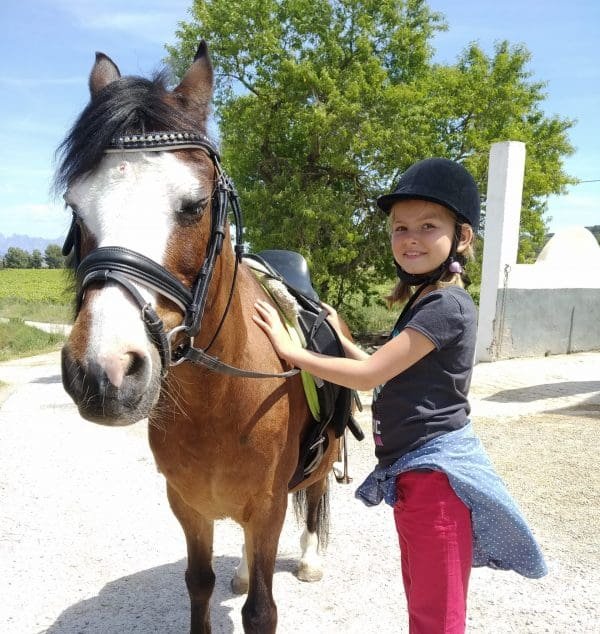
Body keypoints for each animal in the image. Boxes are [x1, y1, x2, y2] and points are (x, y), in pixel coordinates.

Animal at [57, 43, 346, 632]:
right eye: (77, 208)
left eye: (194, 205)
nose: (103, 372)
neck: (220, 397)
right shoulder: (188, 505)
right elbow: (198, 583)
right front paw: (228, 579)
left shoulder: (268, 506)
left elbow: (262, 610)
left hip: (319, 464)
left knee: (318, 492)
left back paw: (309, 559)